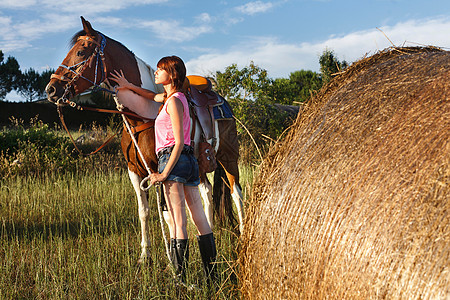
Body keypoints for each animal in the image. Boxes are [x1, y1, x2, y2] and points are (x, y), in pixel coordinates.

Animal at [45, 16, 244, 262]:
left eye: (81, 52)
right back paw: (209, 230)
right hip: (201, 165)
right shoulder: (135, 171)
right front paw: (145, 255)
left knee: (236, 193)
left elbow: (168, 215)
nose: (51, 90)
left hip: (229, 157)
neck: (141, 116)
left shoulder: (161, 170)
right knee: (206, 193)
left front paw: (173, 258)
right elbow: (144, 211)